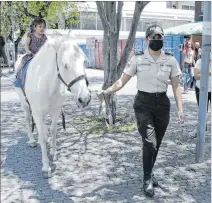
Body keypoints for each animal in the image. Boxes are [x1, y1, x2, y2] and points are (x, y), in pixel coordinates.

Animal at [14, 36, 91, 178]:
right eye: (65, 65)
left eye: (84, 62)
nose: (85, 98)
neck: (46, 83)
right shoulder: (37, 113)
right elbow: (41, 135)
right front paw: (46, 166)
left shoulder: (56, 111)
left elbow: (53, 130)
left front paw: (54, 153)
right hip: (25, 105)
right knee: (28, 120)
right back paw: (32, 141)